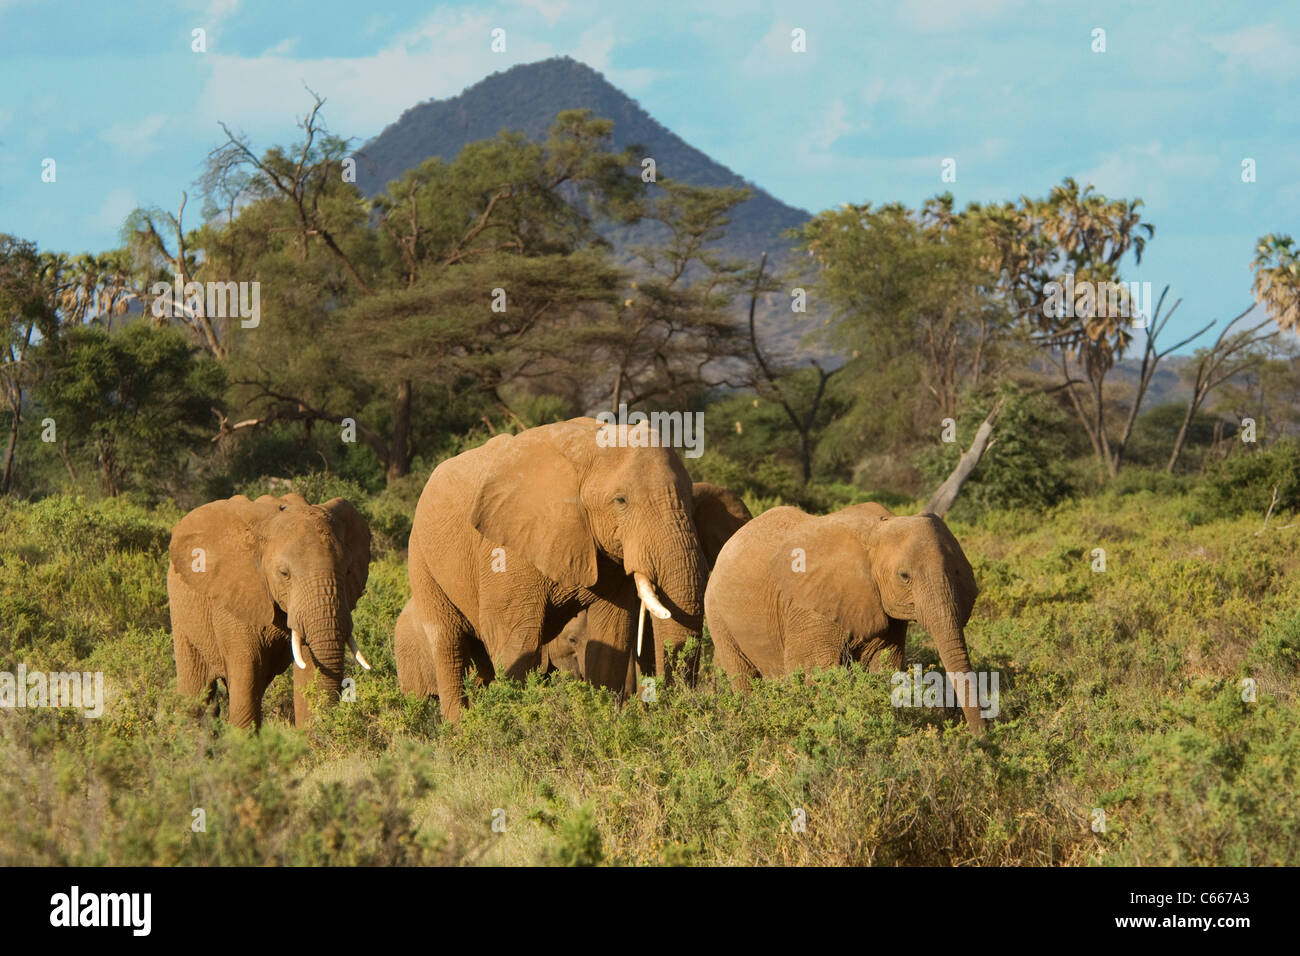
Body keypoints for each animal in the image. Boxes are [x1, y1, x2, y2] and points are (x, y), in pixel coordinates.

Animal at [166, 496, 371, 728]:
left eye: (348, 571)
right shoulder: (235, 601)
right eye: (284, 574)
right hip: (182, 615)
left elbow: (311, 669)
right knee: (195, 690)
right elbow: (247, 672)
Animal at [408, 416, 707, 723]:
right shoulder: (506, 545)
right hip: (421, 557)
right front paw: (514, 723)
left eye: (690, 497)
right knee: (448, 646)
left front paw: (601, 717)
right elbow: (515, 639)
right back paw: (458, 728)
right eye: (621, 501)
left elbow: (611, 633)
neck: (589, 449)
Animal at [702, 502, 982, 733]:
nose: (980, 739)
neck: (878, 530)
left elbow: (883, 666)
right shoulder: (809, 607)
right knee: (743, 678)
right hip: (716, 611)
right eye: (904, 576)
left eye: (957, 571)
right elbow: (814, 673)